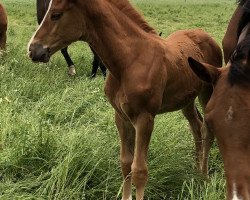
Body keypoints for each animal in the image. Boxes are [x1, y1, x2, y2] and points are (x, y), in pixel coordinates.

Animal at [27, 0, 223, 199]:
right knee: (196, 127)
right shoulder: (121, 116)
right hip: (186, 100)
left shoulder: (145, 118)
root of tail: (207, 36)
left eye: (56, 14)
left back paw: (204, 177)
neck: (130, 60)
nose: (33, 50)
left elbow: (139, 170)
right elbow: (125, 163)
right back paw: (195, 171)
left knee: (206, 130)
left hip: (207, 92)